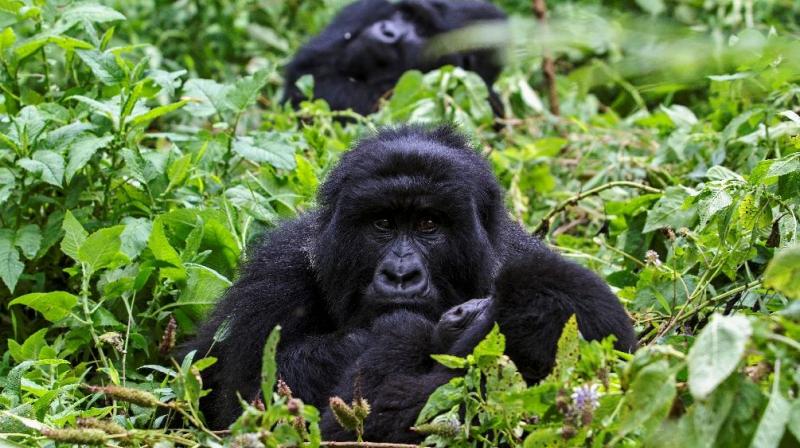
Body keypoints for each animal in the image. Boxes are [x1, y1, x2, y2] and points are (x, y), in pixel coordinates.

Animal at [183, 124, 636, 436]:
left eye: (428, 224)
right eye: (383, 223)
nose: (401, 274)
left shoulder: (523, 259)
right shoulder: (274, 278)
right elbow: (251, 401)